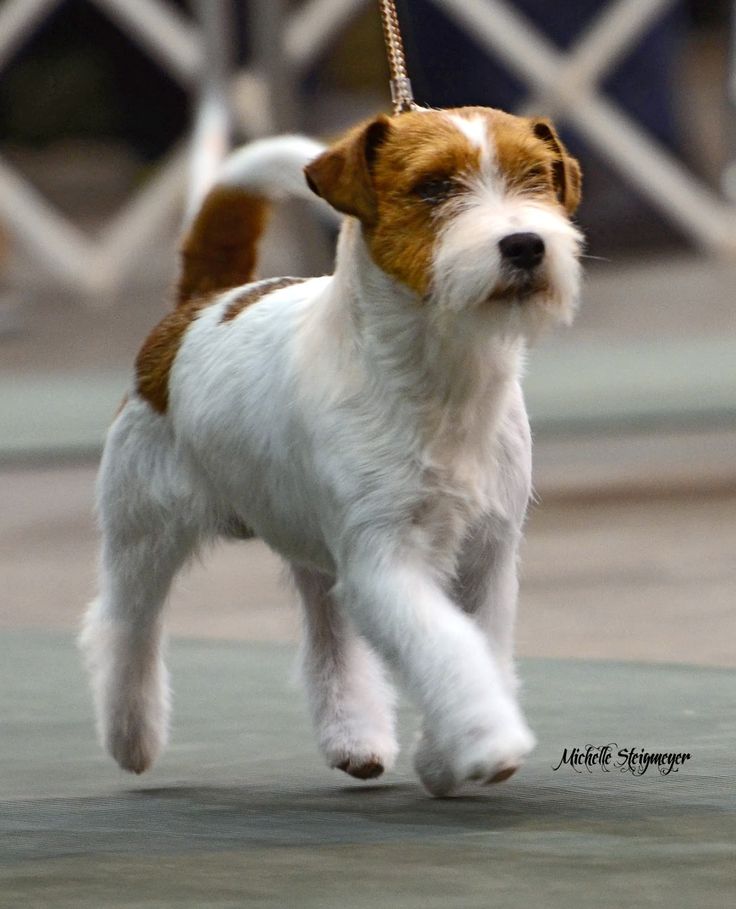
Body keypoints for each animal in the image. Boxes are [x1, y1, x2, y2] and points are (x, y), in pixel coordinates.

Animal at [80, 108, 584, 796]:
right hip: (143, 530)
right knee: (125, 628)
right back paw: (133, 738)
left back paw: (355, 739)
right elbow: (447, 649)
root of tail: (202, 305)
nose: (526, 244)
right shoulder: (384, 560)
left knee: (328, 641)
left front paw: (443, 758)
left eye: (536, 176)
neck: (439, 381)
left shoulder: (486, 555)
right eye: (432, 188)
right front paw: (488, 739)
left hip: (312, 549)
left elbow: (477, 645)